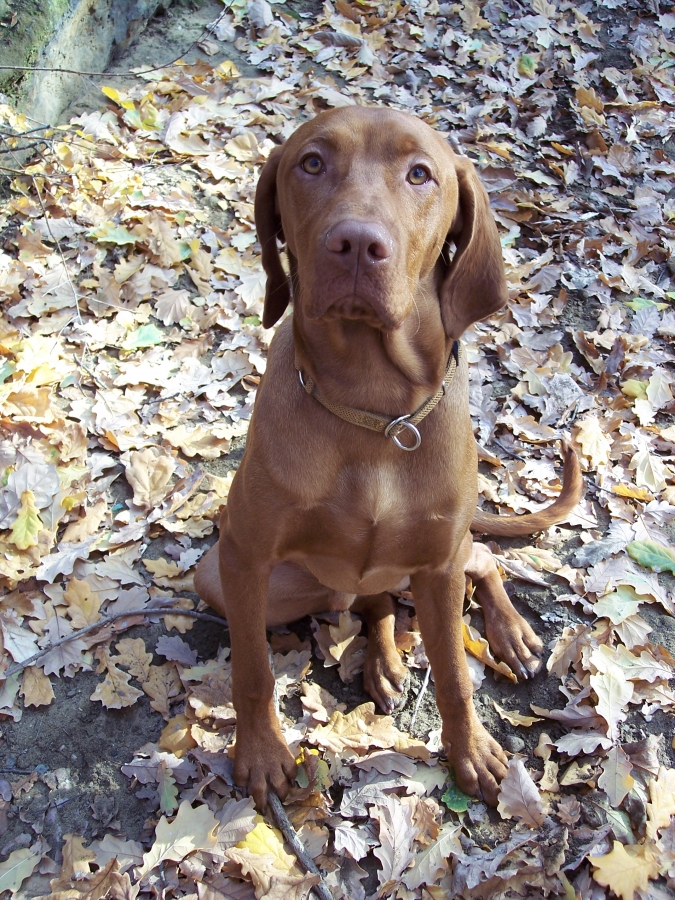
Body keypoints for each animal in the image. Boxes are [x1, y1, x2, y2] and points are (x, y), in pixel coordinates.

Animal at [194, 106, 583, 810]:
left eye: (420, 174)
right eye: (311, 163)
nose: (355, 244)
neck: (374, 410)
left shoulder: (436, 566)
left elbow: (454, 674)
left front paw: (470, 751)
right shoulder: (242, 556)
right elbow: (253, 670)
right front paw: (260, 752)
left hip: (437, 556)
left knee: (481, 559)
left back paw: (507, 632)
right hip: (256, 579)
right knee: (373, 604)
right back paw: (382, 659)